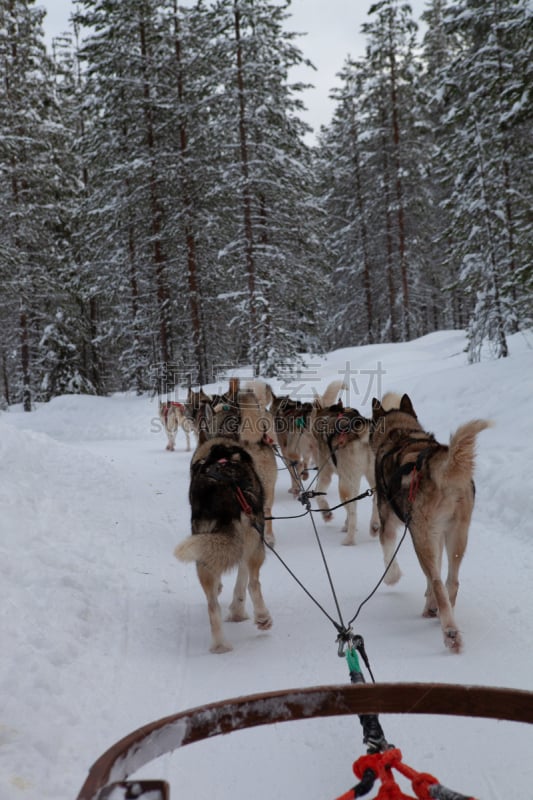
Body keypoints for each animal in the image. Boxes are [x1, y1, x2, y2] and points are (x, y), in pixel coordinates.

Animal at [176, 438, 270, 656]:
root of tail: (224, 489)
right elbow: (242, 579)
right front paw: (238, 611)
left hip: (203, 554)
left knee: (212, 605)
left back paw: (220, 645)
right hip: (255, 542)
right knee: (253, 583)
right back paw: (262, 617)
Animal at [310, 380, 380, 544]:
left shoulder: (325, 474)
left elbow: (319, 495)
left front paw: (327, 514)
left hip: (344, 486)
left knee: (353, 511)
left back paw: (349, 539)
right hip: (371, 478)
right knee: (375, 501)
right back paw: (374, 526)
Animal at [370, 390, 490, 652]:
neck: (402, 434)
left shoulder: (389, 521)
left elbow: (388, 551)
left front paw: (391, 576)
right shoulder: (440, 535)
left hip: (421, 536)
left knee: (436, 581)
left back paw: (449, 631)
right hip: (457, 534)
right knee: (450, 581)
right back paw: (443, 612)